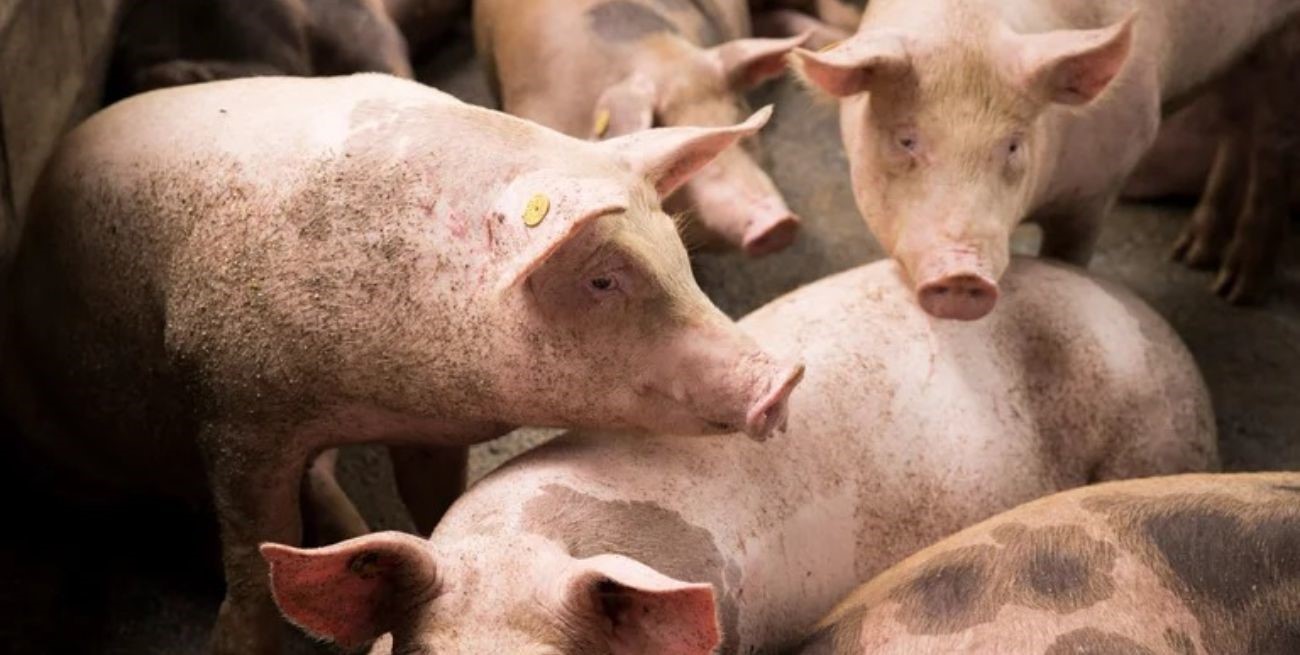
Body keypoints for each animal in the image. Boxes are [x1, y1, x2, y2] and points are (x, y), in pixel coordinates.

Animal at [0, 74, 802, 655]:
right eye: (604, 279)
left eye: (678, 253)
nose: (783, 378)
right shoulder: (232, 403)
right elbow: (252, 545)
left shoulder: (429, 428)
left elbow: (430, 496)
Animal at [792, 0, 1300, 319]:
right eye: (906, 140)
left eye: (1014, 144)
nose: (962, 272)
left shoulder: (1099, 188)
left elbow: (1069, 255)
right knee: (1236, 124)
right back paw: (1192, 254)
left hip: (1285, 36)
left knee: (1273, 141)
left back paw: (1236, 291)